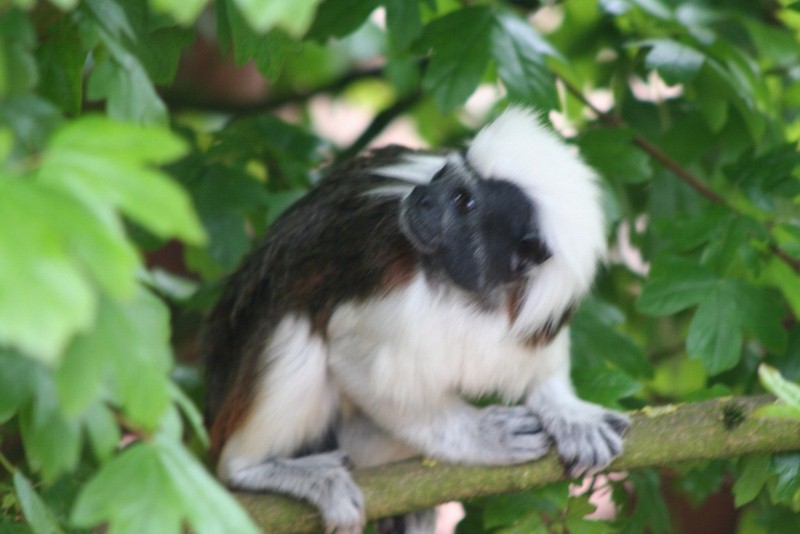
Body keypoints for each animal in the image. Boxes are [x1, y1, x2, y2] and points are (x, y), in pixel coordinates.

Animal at [203, 107, 630, 533]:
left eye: (464, 201)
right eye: (442, 177)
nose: (422, 197)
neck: (473, 292)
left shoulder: (536, 315)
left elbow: (540, 360)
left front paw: (567, 412)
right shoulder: (396, 292)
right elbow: (353, 361)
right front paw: (481, 436)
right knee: (295, 324)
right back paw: (256, 469)